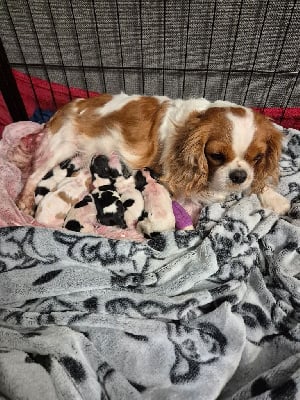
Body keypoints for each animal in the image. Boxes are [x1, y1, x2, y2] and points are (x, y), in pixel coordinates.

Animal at [17, 94, 290, 216]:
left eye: (257, 158)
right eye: (216, 155)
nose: (238, 176)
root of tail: (65, 107)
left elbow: (258, 185)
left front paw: (275, 199)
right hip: (59, 147)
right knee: (34, 175)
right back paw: (25, 200)